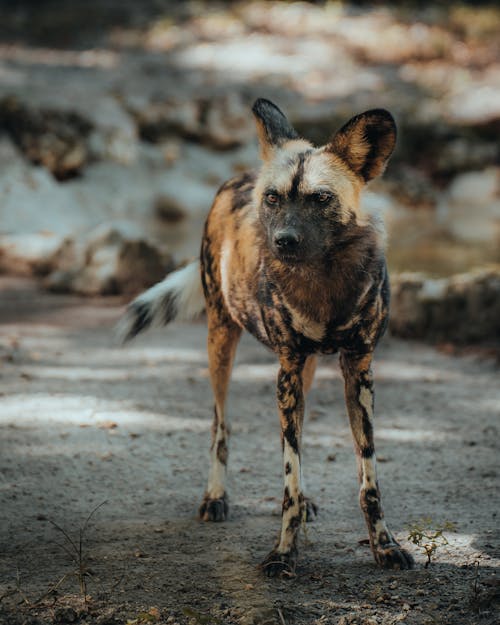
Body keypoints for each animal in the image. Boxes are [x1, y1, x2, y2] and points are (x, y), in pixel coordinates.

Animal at [119, 98, 416, 576]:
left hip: (304, 370)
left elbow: (368, 481)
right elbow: (288, 482)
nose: (284, 240)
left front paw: (384, 547)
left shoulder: (358, 370)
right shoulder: (287, 370)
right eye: (273, 198)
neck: (323, 281)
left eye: (321, 198)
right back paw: (215, 498)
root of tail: (240, 176)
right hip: (222, 341)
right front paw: (283, 554)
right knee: (220, 425)